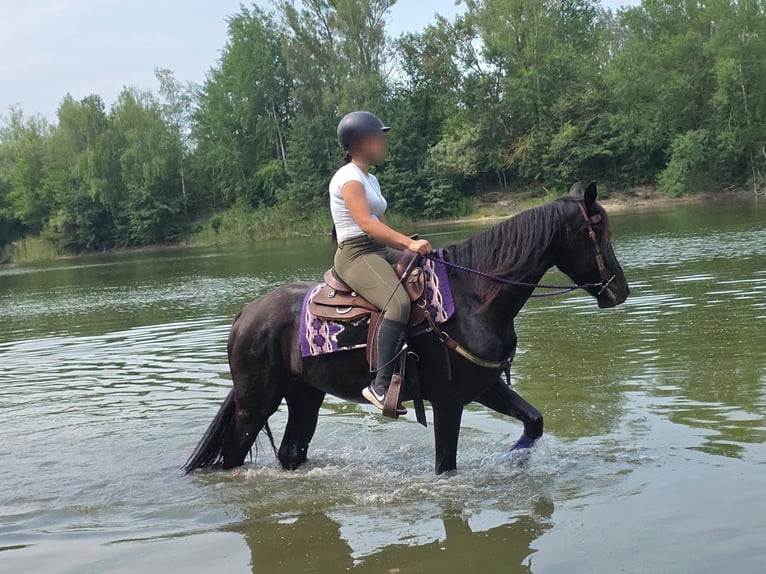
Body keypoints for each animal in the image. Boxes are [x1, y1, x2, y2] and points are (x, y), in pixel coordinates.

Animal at [183, 182, 629, 475]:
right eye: (598, 231)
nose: (619, 291)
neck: (473, 297)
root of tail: (246, 314)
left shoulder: (484, 386)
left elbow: (533, 421)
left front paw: (514, 458)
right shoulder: (449, 401)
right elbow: (446, 465)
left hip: (305, 396)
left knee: (292, 451)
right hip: (255, 403)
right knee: (234, 456)